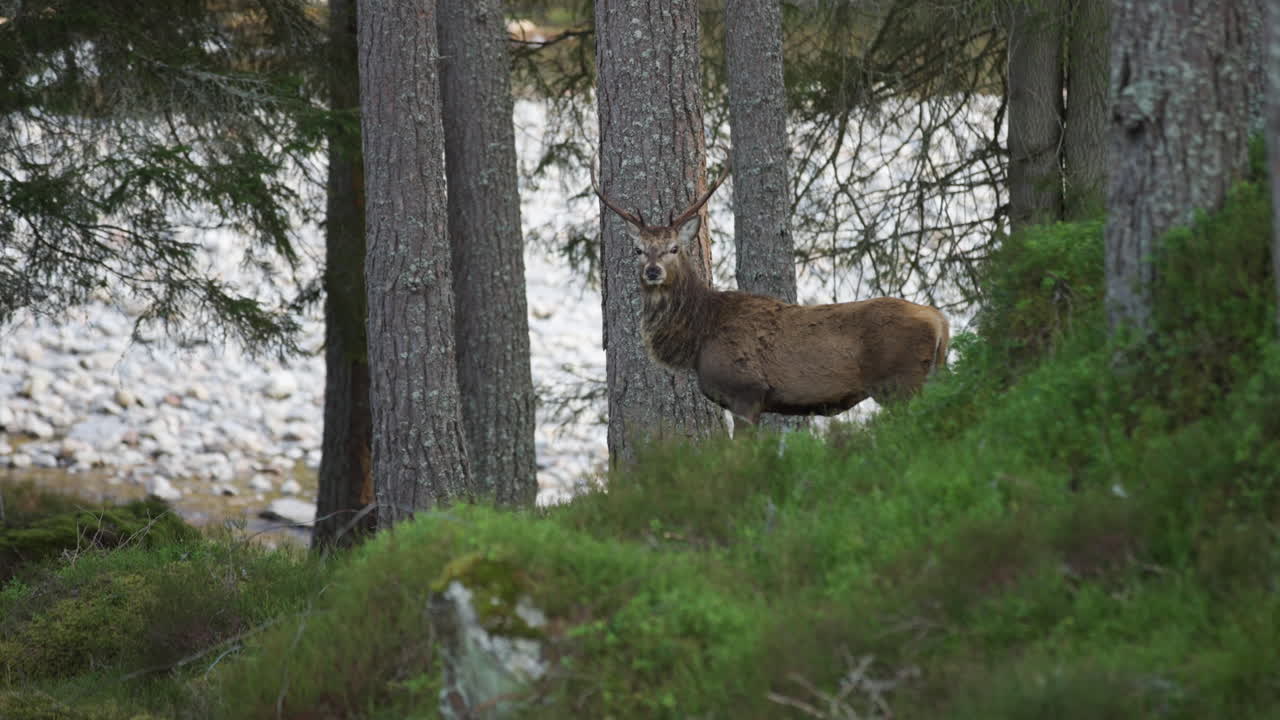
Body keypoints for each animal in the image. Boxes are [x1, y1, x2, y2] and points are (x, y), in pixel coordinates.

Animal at [594, 164, 950, 427]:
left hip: (902, 381)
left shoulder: (745, 390)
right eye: (638, 250)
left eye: (673, 248)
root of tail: (940, 319)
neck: (699, 338)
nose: (653, 271)